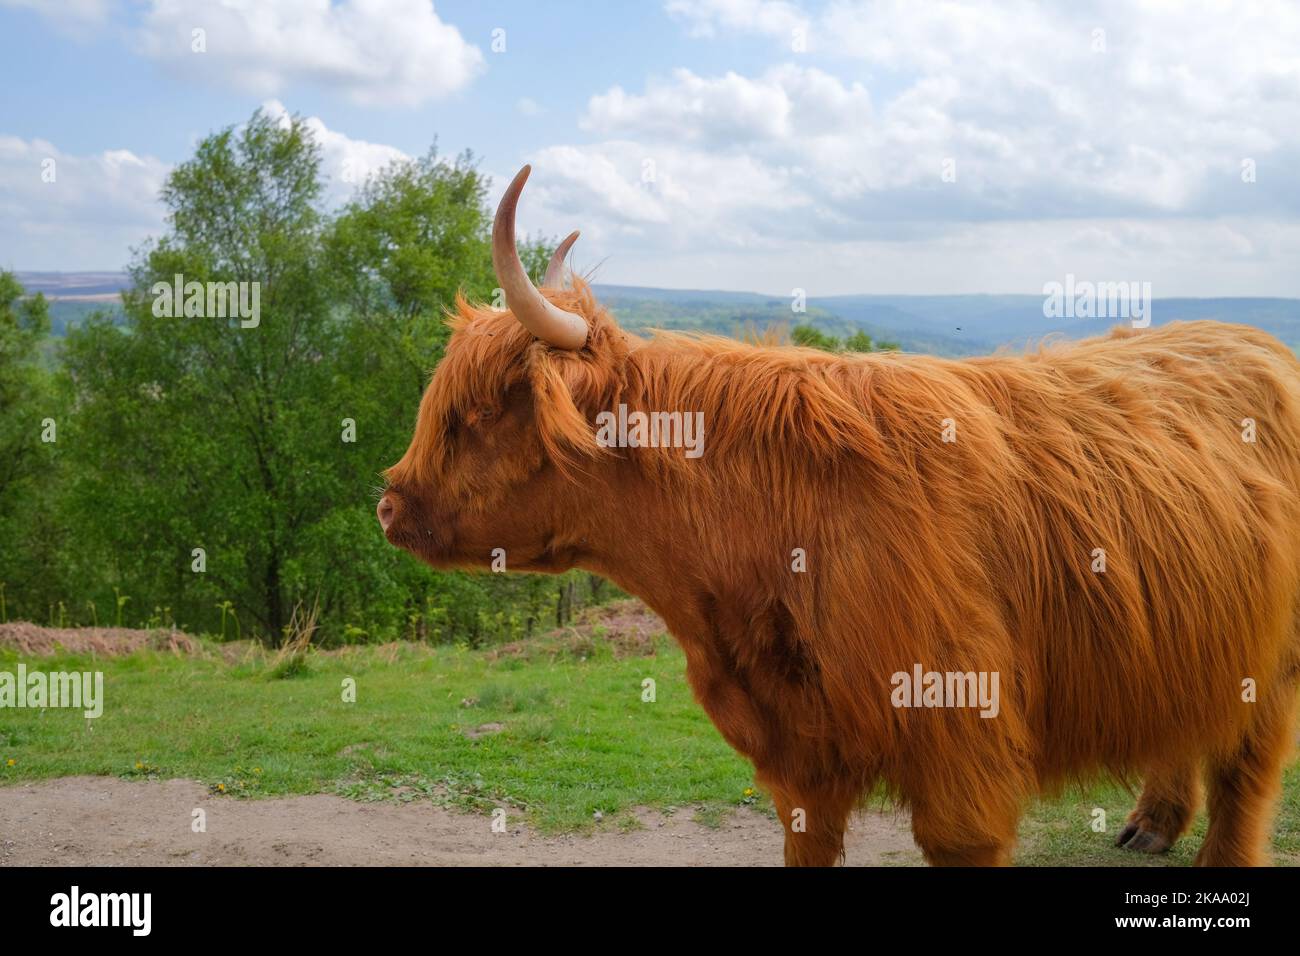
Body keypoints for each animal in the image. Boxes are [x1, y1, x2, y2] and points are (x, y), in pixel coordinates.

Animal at [378, 165, 1300, 866]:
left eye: (473, 416)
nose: (389, 503)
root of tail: (1255, 339)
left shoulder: (962, 755)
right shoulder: (800, 766)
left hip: (1269, 658)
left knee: (1247, 772)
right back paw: (1150, 824)